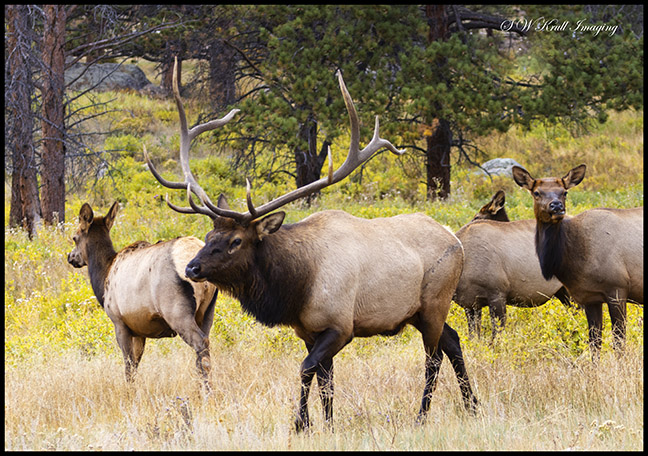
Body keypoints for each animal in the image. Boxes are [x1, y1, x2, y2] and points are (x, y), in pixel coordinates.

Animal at [67, 201, 218, 386]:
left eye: (75, 237)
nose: (70, 257)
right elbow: (135, 365)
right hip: (208, 312)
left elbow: (128, 367)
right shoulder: (139, 330)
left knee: (200, 345)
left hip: (177, 311)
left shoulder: (119, 322)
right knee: (204, 349)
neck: (103, 276)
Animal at [143, 58, 478, 432]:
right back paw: (472, 406)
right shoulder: (308, 330)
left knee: (433, 357)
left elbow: (306, 370)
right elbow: (325, 382)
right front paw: (328, 425)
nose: (192, 267)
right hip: (419, 311)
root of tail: (456, 240)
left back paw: (422, 416)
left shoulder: (340, 326)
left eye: (236, 241)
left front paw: (301, 423)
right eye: (207, 237)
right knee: (454, 342)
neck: (296, 286)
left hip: (435, 301)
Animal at [454, 190, 571, 338]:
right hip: (562, 292)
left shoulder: (497, 294)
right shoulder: (471, 304)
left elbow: (497, 335)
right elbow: (474, 336)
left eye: (477, 217)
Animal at [512, 164, 643, 360]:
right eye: (536, 192)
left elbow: (619, 342)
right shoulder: (589, 297)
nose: (556, 206)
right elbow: (594, 343)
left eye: (564, 192)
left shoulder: (618, 288)